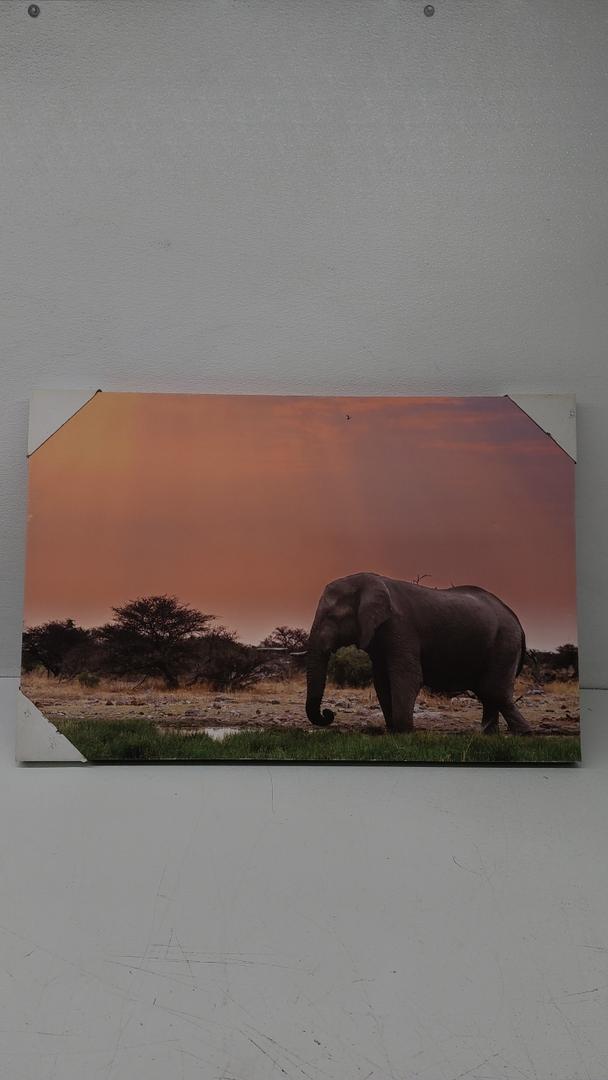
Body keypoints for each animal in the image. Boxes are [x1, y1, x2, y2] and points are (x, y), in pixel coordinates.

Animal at [305, 572, 532, 735]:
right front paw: (393, 730)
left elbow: (407, 677)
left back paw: (523, 734)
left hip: (504, 642)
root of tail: (518, 622)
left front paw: (403, 732)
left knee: (493, 690)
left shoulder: (400, 627)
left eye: (331, 617)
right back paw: (488, 734)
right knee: (487, 692)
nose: (328, 714)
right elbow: (382, 681)